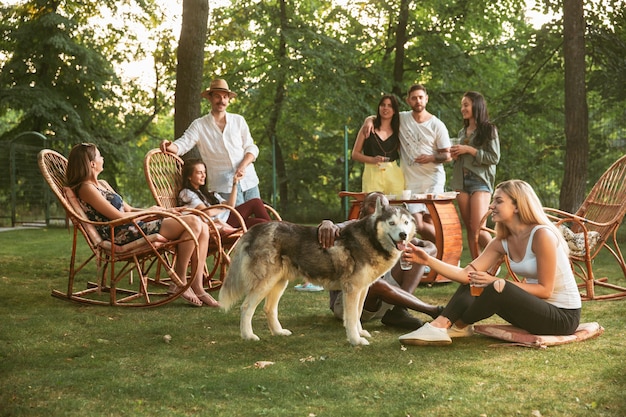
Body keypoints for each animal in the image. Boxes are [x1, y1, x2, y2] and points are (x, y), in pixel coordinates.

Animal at [219, 197, 414, 344]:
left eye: (405, 222)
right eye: (391, 223)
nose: (403, 235)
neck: (371, 238)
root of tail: (254, 229)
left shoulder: (362, 289)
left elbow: (357, 314)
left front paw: (360, 333)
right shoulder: (352, 289)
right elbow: (351, 317)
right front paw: (355, 340)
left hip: (279, 283)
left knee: (269, 308)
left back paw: (278, 332)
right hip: (264, 283)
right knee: (246, 307)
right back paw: (248, 336)